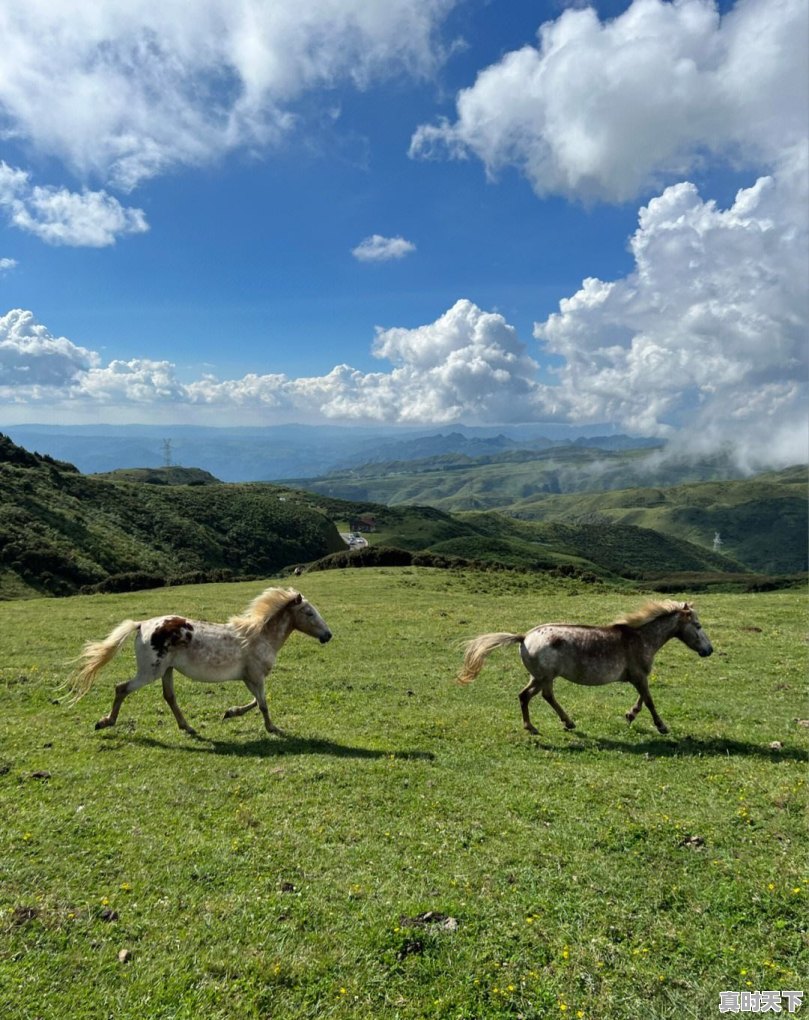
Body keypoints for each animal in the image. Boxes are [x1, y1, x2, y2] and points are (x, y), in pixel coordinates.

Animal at [68, 591, 330, 734]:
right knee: (121, 688)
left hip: (167, 670)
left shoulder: (249, 678)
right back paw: (105, 722)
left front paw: (230, 712)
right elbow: (263, 704)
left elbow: (256, 702)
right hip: (150, 672)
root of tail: (142, 625)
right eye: (309, 612)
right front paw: (272, 728)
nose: (328, 635)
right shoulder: (256, 677)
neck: (259, 636)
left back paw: (188, 727)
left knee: (169, 697)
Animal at [457, 595, 710, 734]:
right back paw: (553, 724)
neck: (641, 638)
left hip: (538, 677)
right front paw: (661, 726)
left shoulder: (638, 676)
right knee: (538, 696)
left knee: (530, 696)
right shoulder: (639, 676)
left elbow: (642, 698)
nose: (709, 650)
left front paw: (630, 715)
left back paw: (547, 725)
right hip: (545, 677)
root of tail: (524, 637)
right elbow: (649, 699)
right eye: (697, 626)